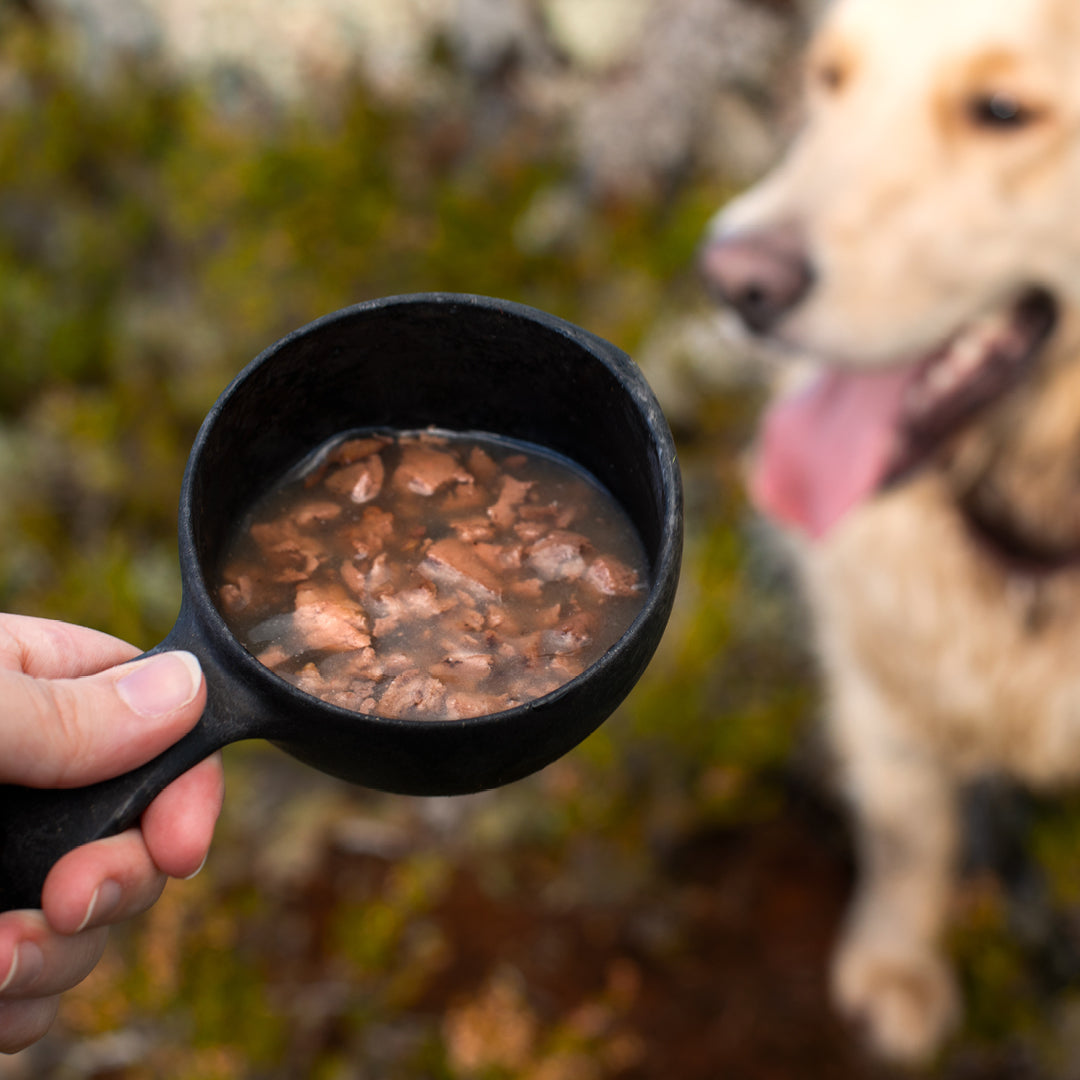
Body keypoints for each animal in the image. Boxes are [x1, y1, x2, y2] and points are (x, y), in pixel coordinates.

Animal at [699, 0, 1080, 1062]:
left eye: (1003, 109)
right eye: (830, 79)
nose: (731, 278)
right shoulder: (879, 685)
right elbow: (911, 836)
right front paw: (895, 966)